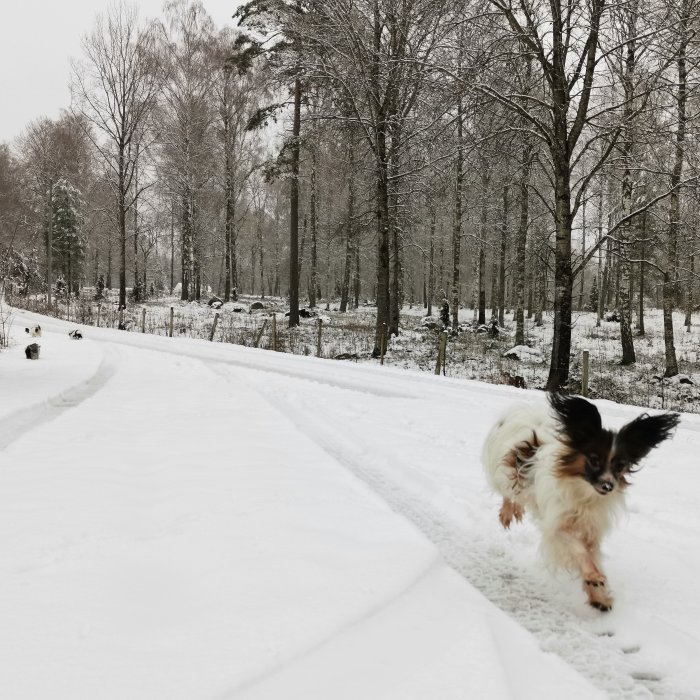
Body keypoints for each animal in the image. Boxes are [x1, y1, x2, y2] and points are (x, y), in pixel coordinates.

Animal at [482, 394, 680, 612]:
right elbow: (580, 552)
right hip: (508, 476)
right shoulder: (558, 529)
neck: (585, 495)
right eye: (594, 460)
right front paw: (593, 577)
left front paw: (598, 596)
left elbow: (591, 555)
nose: (608, 485)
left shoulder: (591, 532)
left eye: (620, 465)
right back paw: (508, 512)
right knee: (508, 492)